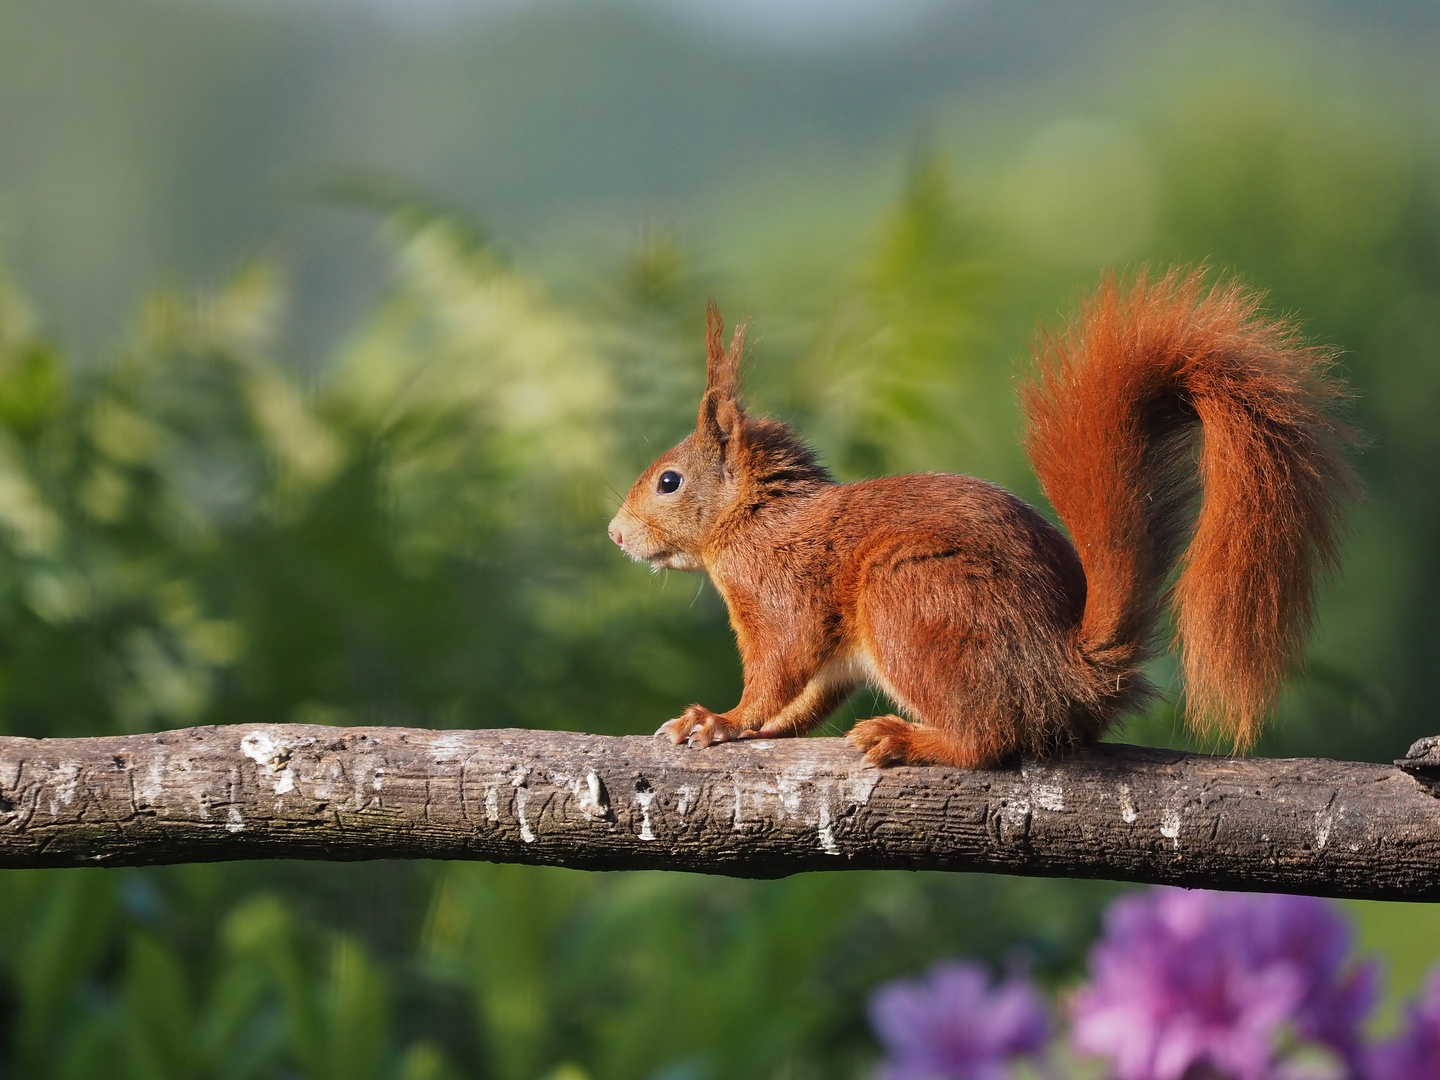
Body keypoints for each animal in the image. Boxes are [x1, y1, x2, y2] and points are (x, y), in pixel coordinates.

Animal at [610, 275, 1359, 771]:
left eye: (669, 481)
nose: (616, 534)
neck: (753, 518)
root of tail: (1065, 672)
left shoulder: (780, 592)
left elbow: (776, 672)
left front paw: (720, 720)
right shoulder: (833, 653)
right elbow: (806, 699)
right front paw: (746, 729)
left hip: (911, 598)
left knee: (989, 740)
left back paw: (910, 739)